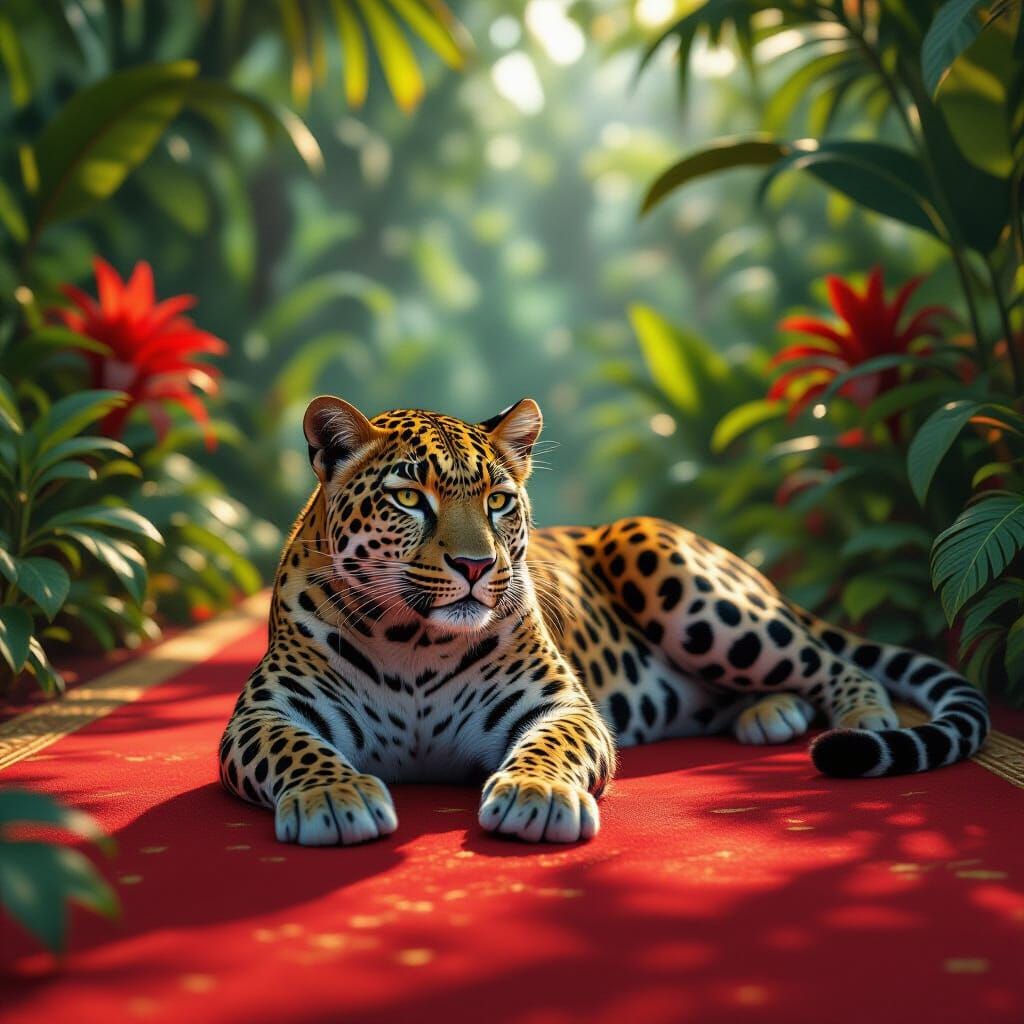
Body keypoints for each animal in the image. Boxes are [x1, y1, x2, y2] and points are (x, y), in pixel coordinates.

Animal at [218, 396, 990, 846]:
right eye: (409, 497)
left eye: (498, 500)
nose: (475, 565)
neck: (415, 640)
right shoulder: (263, 715)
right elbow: (297, 749)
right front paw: (334, 795)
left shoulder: (558, 704)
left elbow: (551, 746)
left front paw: (534, 793)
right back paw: (770, 713)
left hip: (670, 566)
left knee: (834, 661)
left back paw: (861, 716)